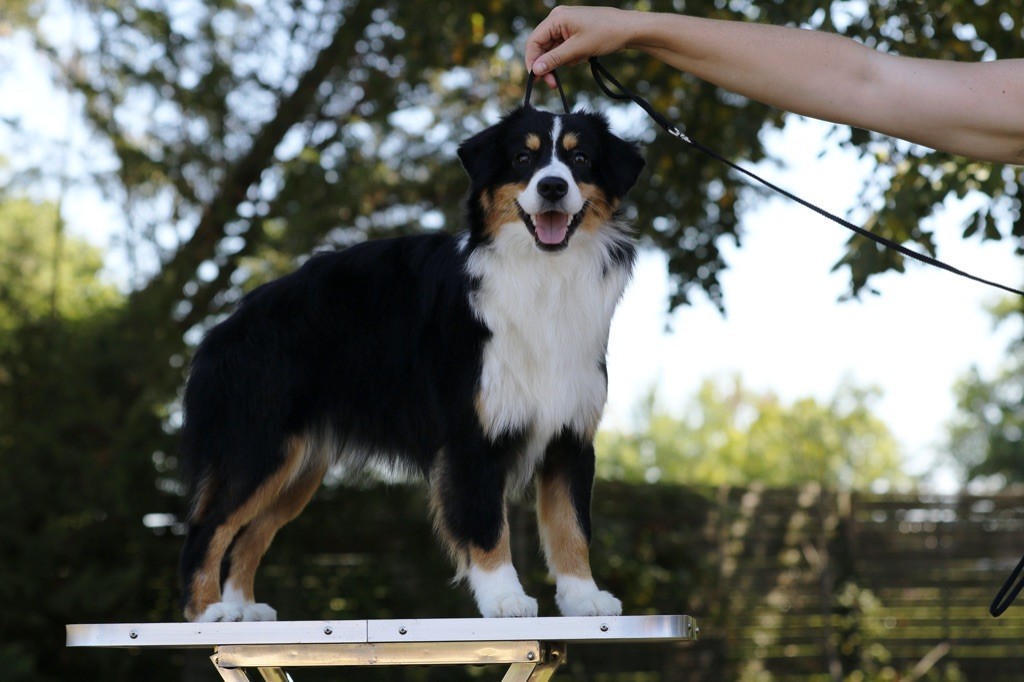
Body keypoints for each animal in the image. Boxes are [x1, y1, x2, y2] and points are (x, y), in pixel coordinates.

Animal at [180, 103, 643, 618]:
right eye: (524, 158)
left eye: (581, 160)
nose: (553, 187)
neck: (543, 274)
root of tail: (223, 328)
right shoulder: (471, 433)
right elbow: (486, 523)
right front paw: (505, 598)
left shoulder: (571, 433)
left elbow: (572, 525)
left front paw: (584, 598)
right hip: (258, 444)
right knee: (207, 527)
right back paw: (209, 612)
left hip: (297, 466)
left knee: (250, 533)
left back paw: (243, 608)